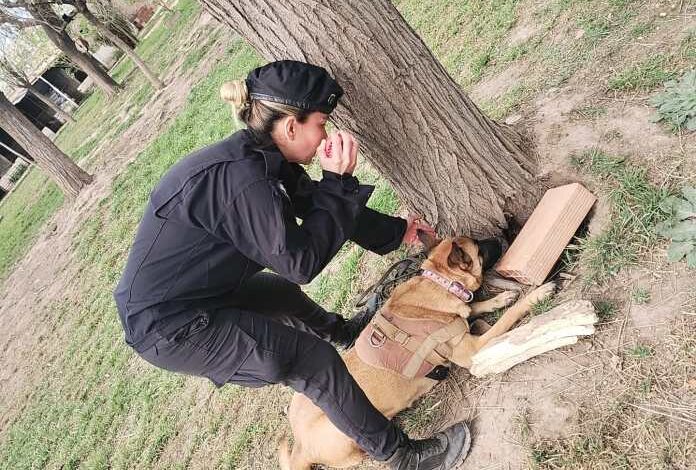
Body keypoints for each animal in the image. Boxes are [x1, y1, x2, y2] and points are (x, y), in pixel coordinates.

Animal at [278, 233, 556, 468]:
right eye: (479, 247)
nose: (501, 235)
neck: (439, 282)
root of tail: (300, 445)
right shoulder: (472, 349)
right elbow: (503, 318)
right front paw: (534, 296)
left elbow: (474, 309)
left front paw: (499, 299)